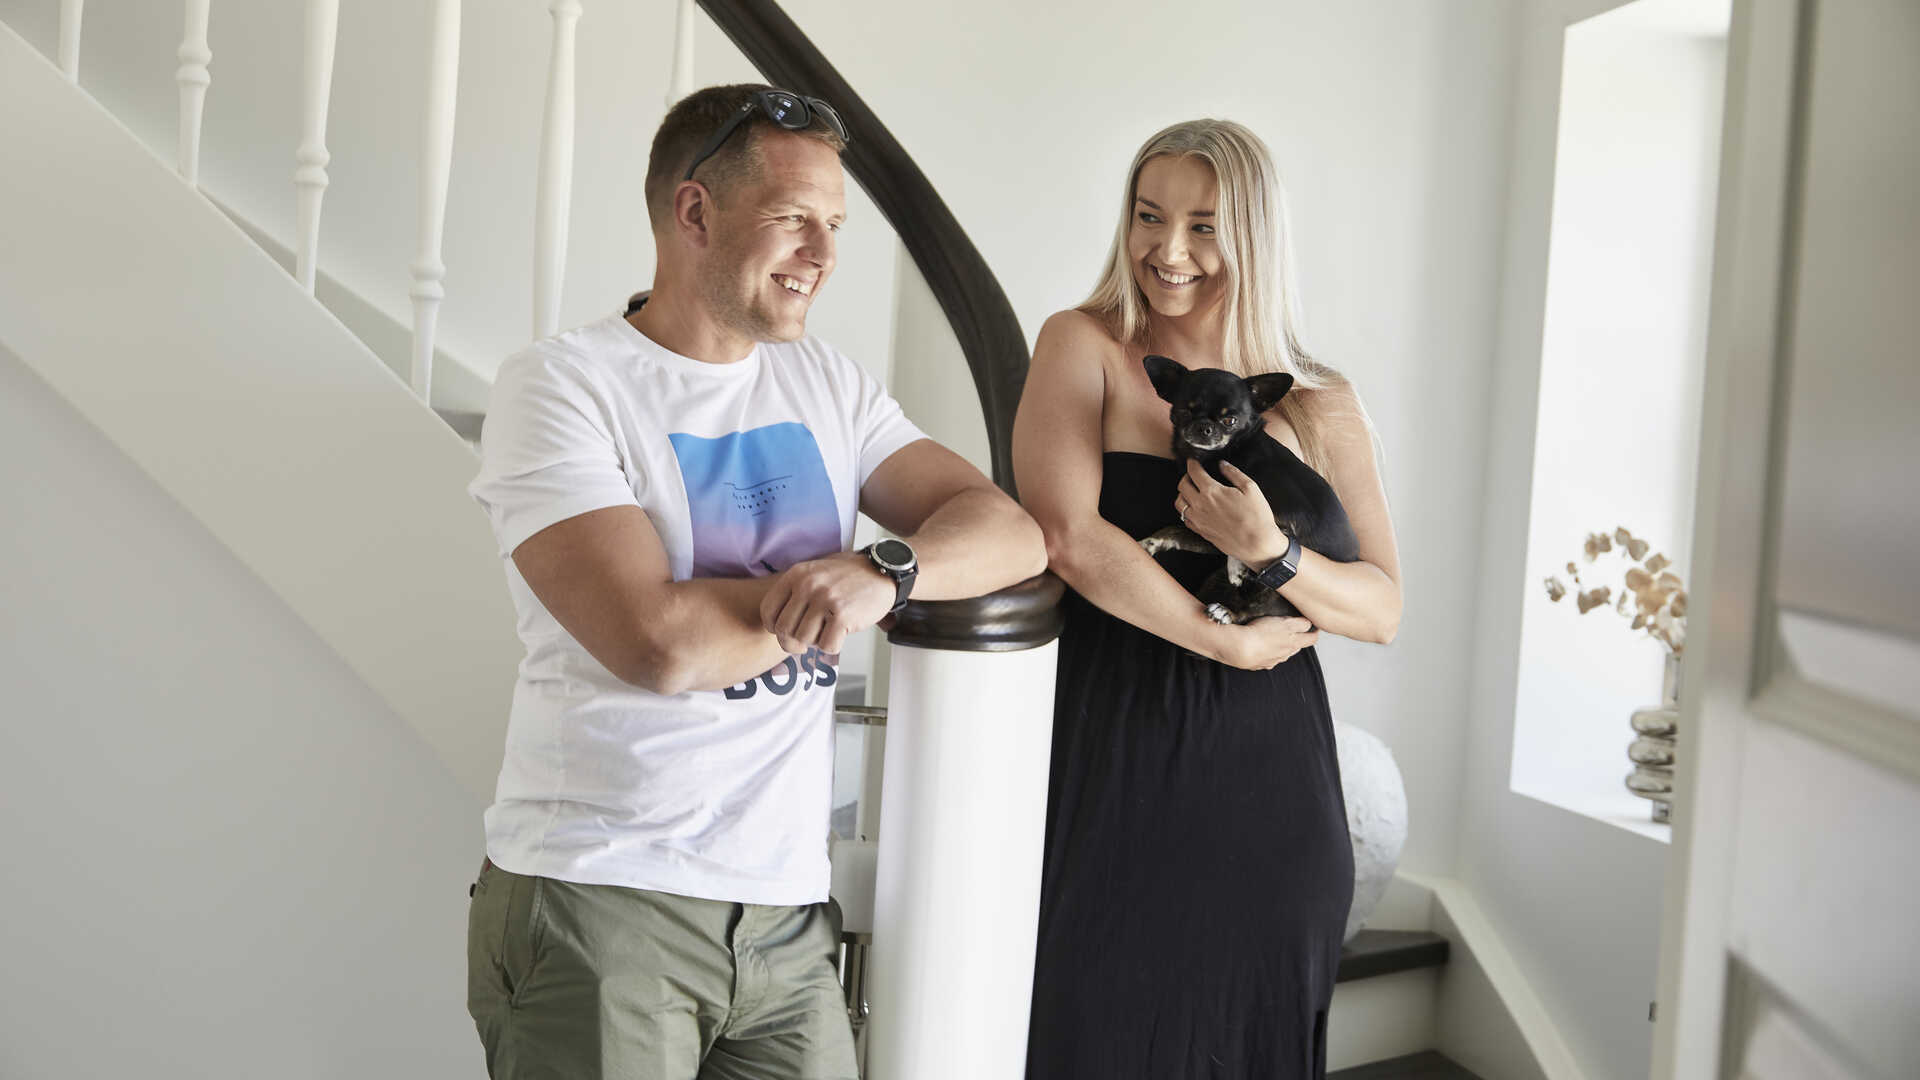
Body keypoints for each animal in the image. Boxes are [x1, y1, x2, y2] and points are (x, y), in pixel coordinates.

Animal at [1138, 354, 1361, 625]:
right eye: (1184, 411)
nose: (1204, 427)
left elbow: (1244, 540)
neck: (1224, 454)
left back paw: (1227, 612)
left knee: (1251, 611)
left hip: (1276, 593)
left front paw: (1236, 566)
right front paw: (1153, 541)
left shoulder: (1283, 521)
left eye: (1229, 420)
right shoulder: (1206, 533)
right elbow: (1178, 531)